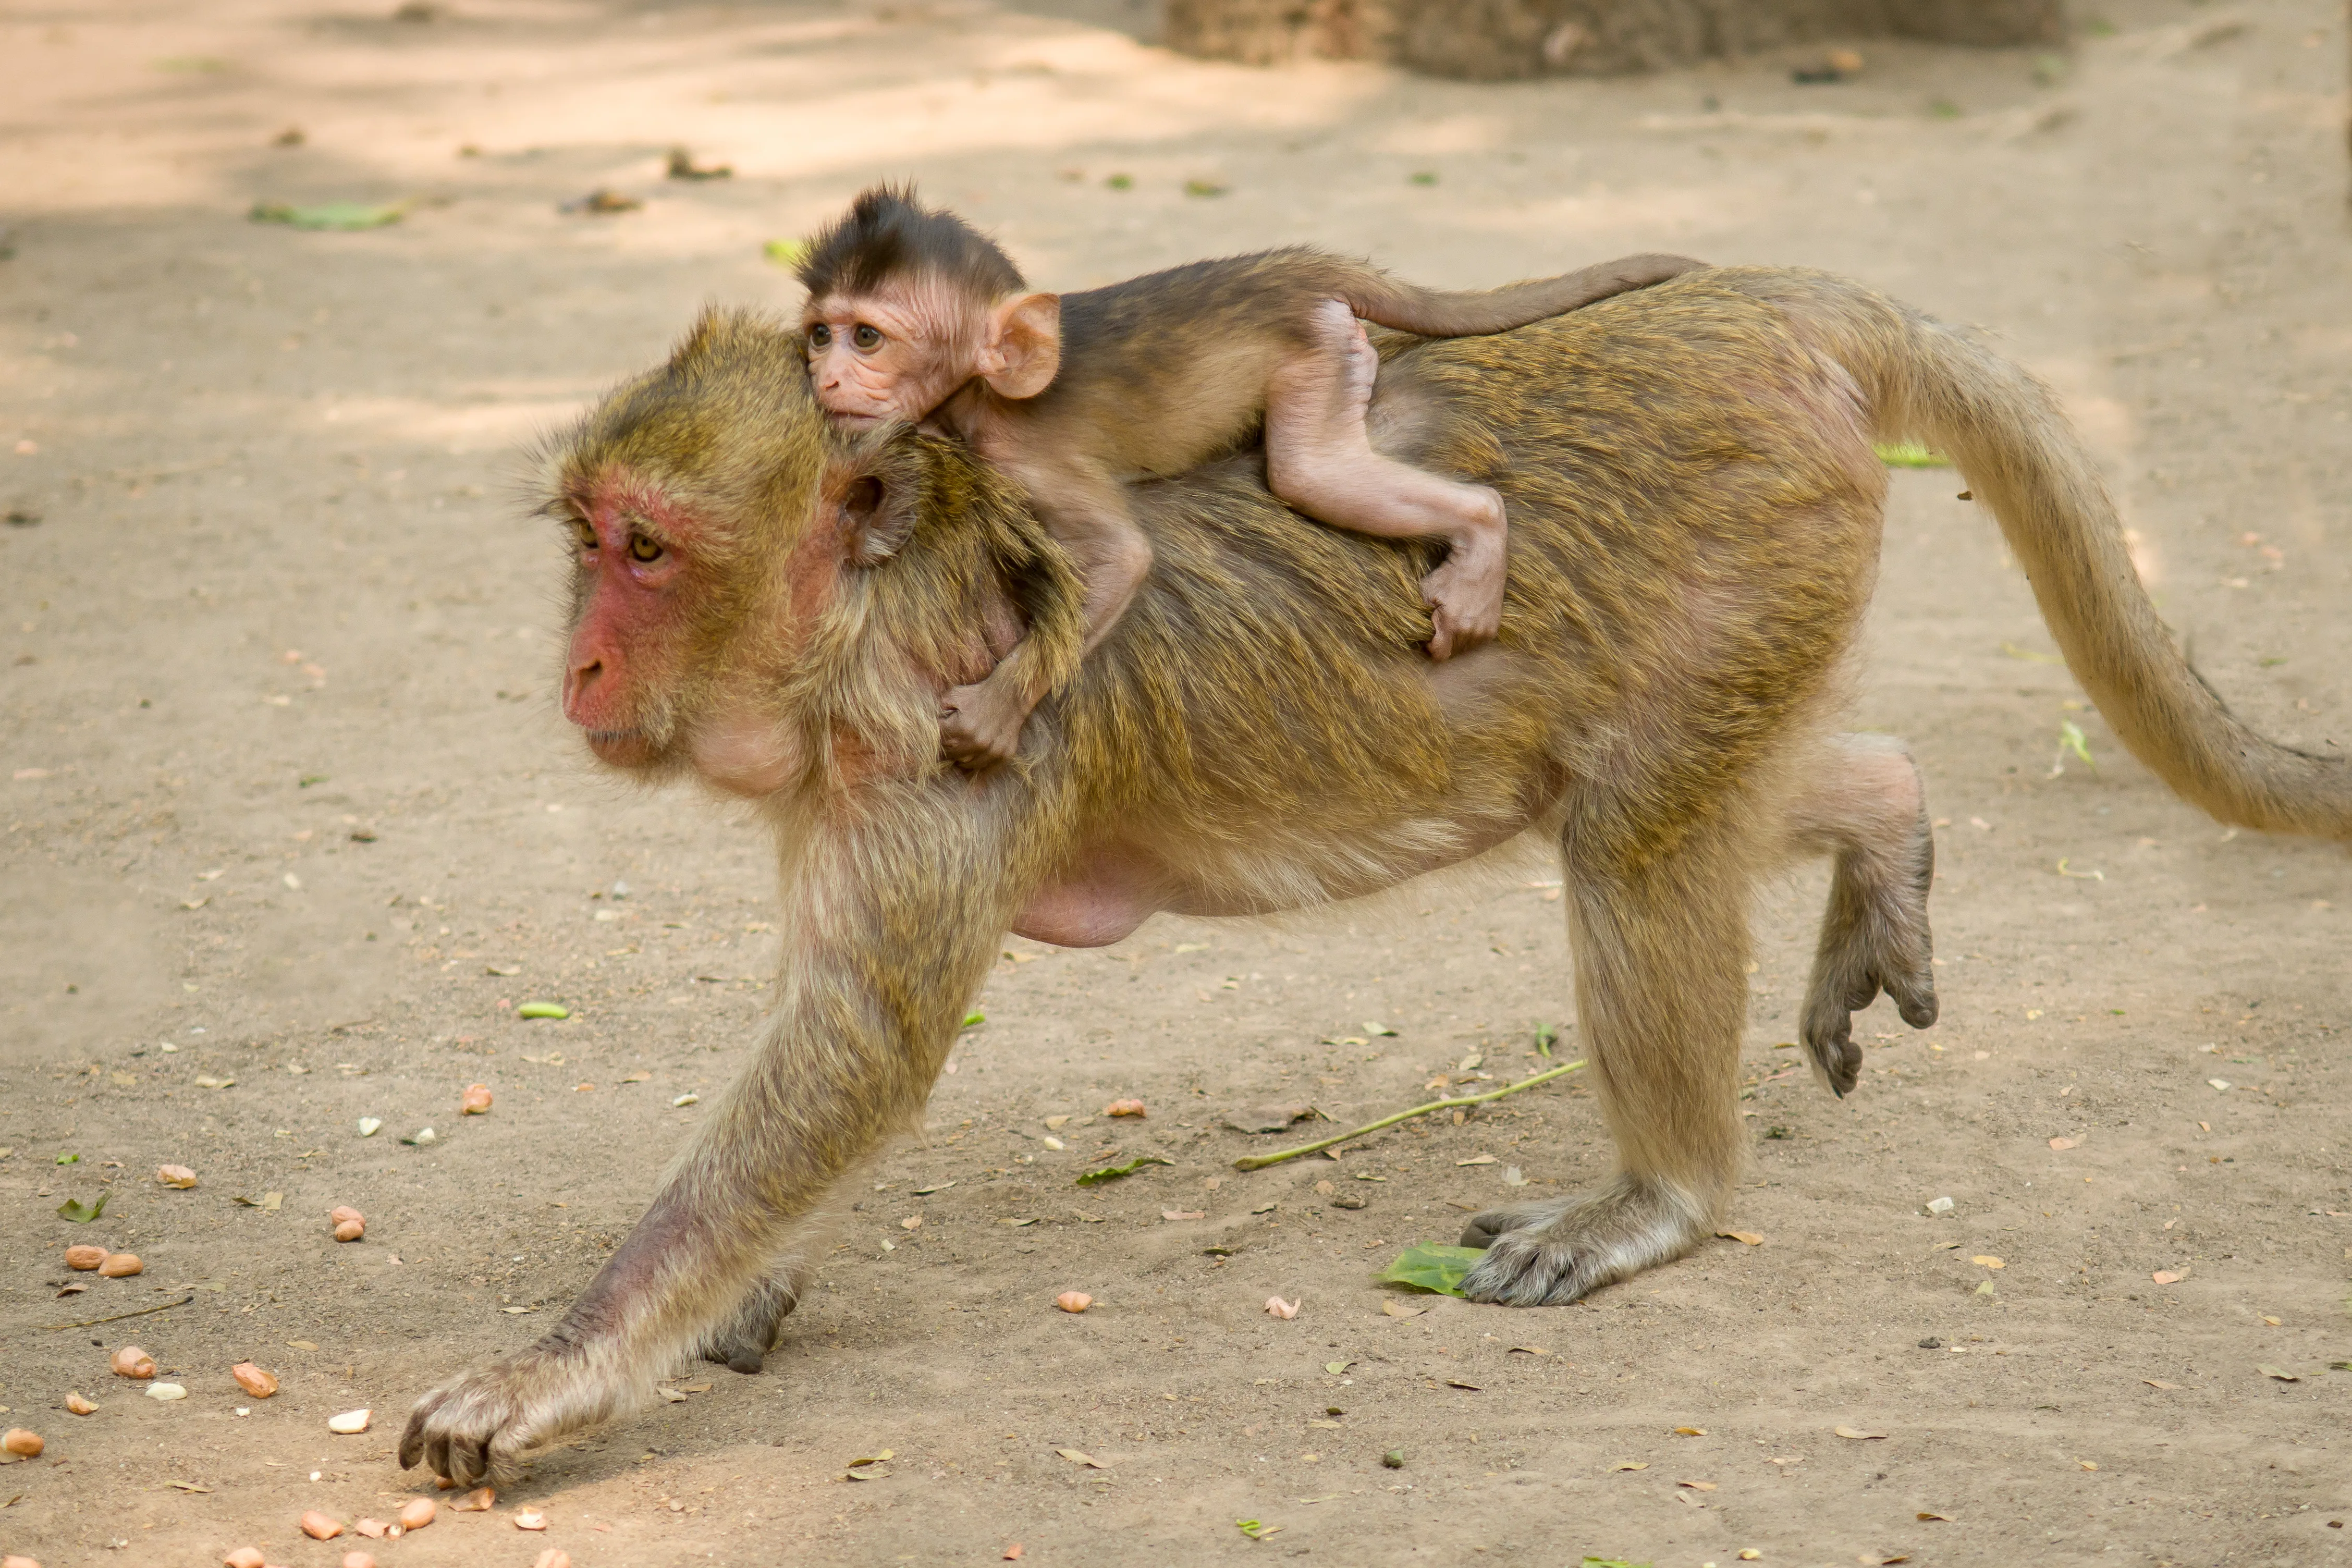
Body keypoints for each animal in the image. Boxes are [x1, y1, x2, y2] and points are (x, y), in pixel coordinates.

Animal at [399, 273, 2352, 1484]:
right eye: (591, 542)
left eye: (646, 553)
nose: (576, 666)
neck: (889, 595)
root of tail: (1765, 300)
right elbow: (830, 1061)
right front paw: (739, 1293)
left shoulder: (938, 755)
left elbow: (860, 1052)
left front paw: (561, 1364)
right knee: (1675, 794)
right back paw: (1883, 819)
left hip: (1762, 540)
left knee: (1633, 835)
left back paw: (1663, 1195)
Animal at [793, 183, 1705, 767]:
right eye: (821, 335)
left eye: (867, 338)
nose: (826, 377)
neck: (978, 390)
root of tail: (1295, 268)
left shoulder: (1025, 457)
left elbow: (1121, 556)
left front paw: (993, 710)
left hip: (1315, 352)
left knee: (1312, 474)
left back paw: (1481, 529)